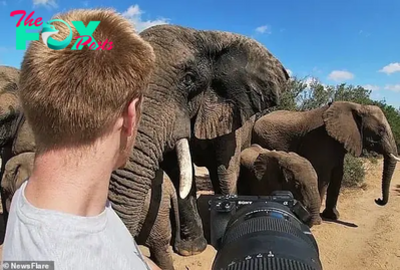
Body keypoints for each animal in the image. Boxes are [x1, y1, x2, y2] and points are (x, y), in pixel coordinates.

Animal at [253, 100, 400, 220]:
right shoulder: (321, 140)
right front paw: (317, 218)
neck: (356, 106)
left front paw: (332, 216)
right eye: (380, 131)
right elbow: (323, 177)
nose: (378, 199)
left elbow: (338, 176)